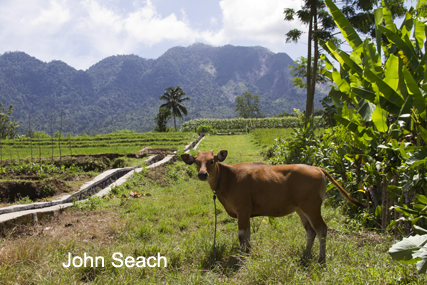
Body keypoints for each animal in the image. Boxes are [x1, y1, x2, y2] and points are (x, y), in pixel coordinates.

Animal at [181, 149, 368, 262]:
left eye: (212, 161)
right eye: (196, 161)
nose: (202, 174)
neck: (228, 178)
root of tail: (317, 168)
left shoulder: (242, 209)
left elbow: (241, 235)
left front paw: (241, 256)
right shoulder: (246, 212)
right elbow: (248, 234)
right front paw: (248, 252)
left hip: (312, 206)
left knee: (321, 229)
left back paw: (321, 258)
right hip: (301, 209)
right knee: (310, 231)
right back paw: (306, 253)